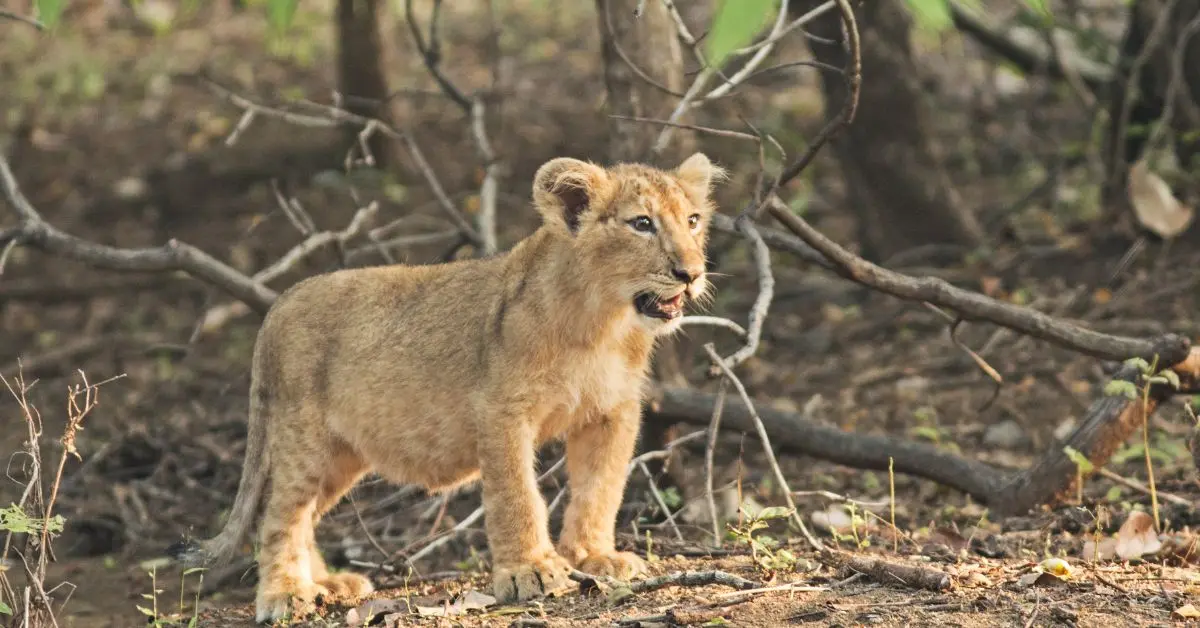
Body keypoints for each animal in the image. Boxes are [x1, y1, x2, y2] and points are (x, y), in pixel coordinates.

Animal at [170, 152, 724, 623]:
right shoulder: (501, 409)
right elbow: (516, 493)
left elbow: (600, 488)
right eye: (642, 223)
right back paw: (287, 594)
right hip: (304, 438)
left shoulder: (611, 411)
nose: (691, 273)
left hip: (341, 455)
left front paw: (593, 555)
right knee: (278, 515)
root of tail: (280, 302)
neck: (604, 323)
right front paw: (531, 571)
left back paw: (329, 584)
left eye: (693, 221)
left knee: (304, 515)